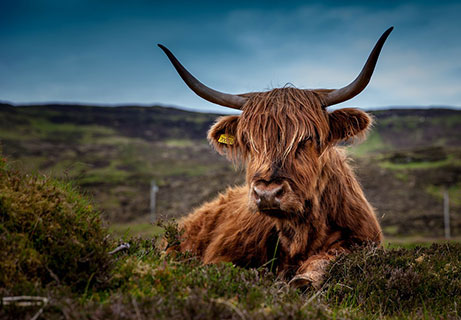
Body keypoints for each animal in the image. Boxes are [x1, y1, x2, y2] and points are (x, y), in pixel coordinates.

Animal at [158, 26, 392, 288]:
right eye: (249, 141)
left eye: (307, 138)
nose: (267, 193)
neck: (300, 233)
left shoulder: (362, 241)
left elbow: (329, 258)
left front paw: (304, 279)